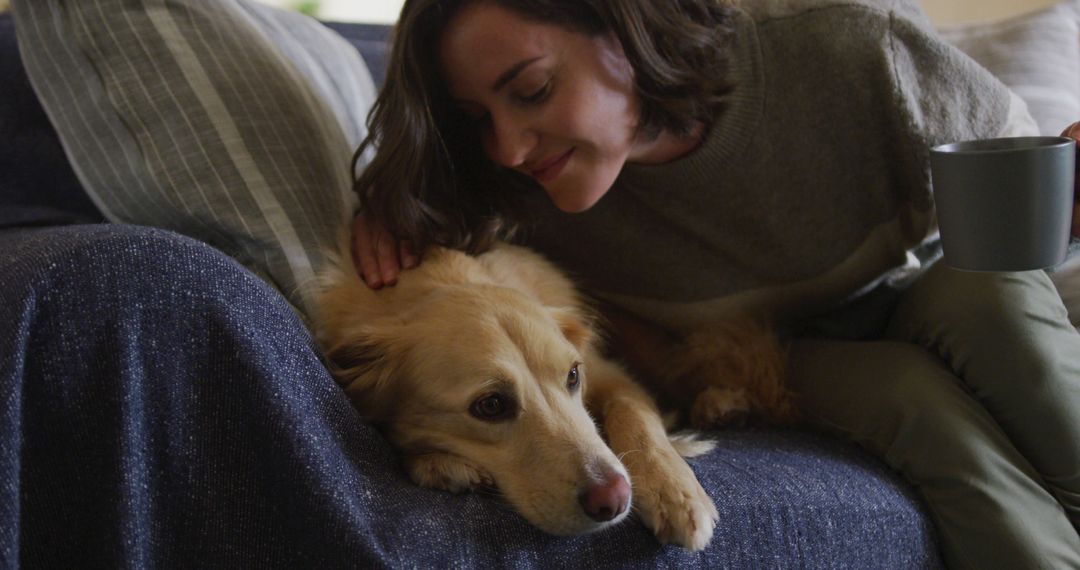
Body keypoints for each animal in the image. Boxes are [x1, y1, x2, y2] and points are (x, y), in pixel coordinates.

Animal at [313, 242, 794, 550]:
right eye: (490, 405)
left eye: (573, 376)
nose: (615, 499)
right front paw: (441, 464)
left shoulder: (610, 374)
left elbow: (635, 417)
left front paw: (675, 491)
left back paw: (723, 405)